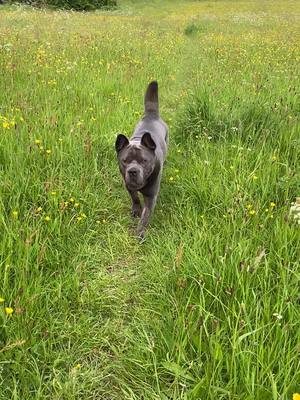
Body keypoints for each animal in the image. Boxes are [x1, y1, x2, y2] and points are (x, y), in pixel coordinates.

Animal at [115, 81, 168, 238]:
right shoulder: (129, 185)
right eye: (125, 161)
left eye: (144, 161)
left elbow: (146, 216)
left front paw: (140, 232)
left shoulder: (151, 196)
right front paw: (136, 210)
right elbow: (135, 198)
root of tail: (151, 114)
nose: (133, 171)